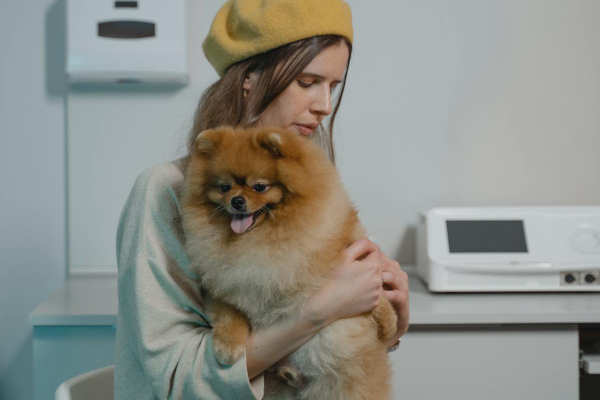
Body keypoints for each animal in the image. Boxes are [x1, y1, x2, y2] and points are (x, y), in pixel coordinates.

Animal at [183, 126, 398, 400]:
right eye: (224, 187)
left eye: (259, 187)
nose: (237, 201)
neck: (260, 240)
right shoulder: (225, 283)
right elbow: (229, 312)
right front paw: (227, 346)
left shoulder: (352, 246)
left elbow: (377, 285)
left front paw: (389, 321)